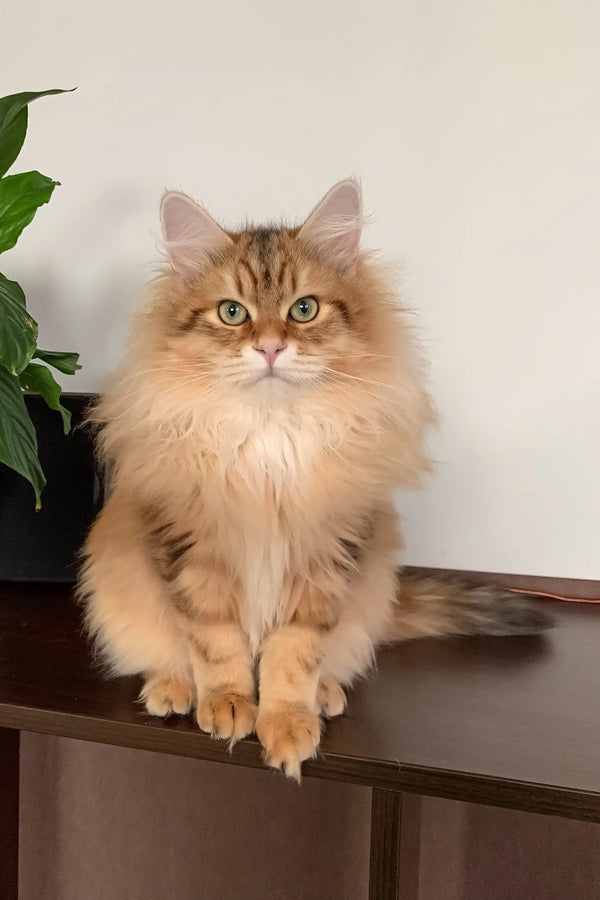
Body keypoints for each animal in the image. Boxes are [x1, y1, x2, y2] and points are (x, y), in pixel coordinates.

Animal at [81, 179, 552, 776]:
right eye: (232, 313)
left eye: (303, 309)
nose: (270, 347)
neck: (271, 436)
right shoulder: (195, 556)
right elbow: (215, 645)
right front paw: (229, 704)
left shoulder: (324, 562)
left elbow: (293, 658)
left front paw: (285, 724)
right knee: (162, 655)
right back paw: (173, 688)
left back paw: (326, 694)